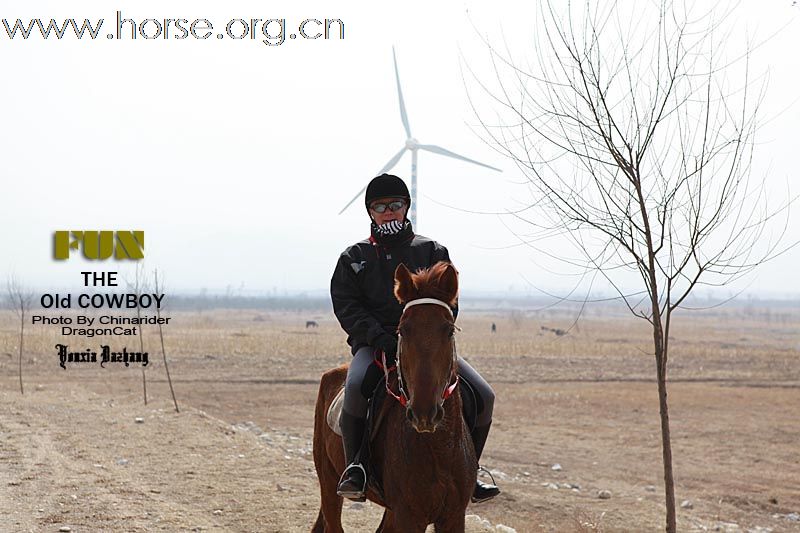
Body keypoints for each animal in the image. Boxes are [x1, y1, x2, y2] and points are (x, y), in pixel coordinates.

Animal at [312, 262, 476, 532]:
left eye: (449, 330)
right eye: (402, 330)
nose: (423, 413)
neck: (438, 451)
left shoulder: (453, 517)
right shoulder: (408, 517)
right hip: (329, 482)